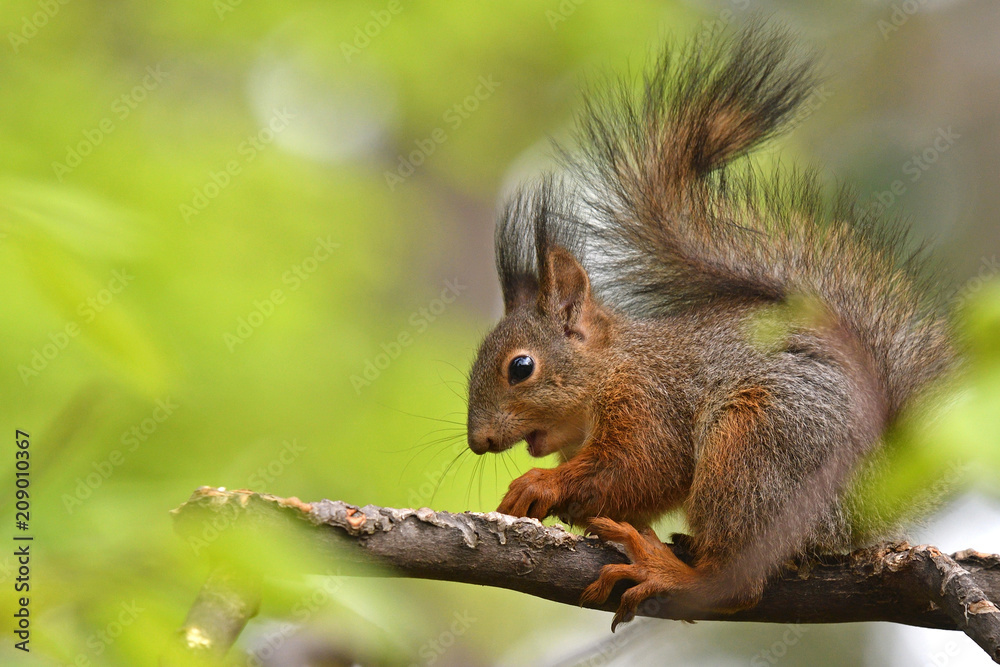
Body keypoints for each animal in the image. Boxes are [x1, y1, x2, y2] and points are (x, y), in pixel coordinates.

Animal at [464, 23, 956, 628]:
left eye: (521, 367)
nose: (479, 442)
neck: (611, 369)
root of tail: (870, 497)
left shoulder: (651, 404)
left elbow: (640, 468)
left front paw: (541, 485)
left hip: (758, 446)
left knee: (738, 579)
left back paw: (669, 571)